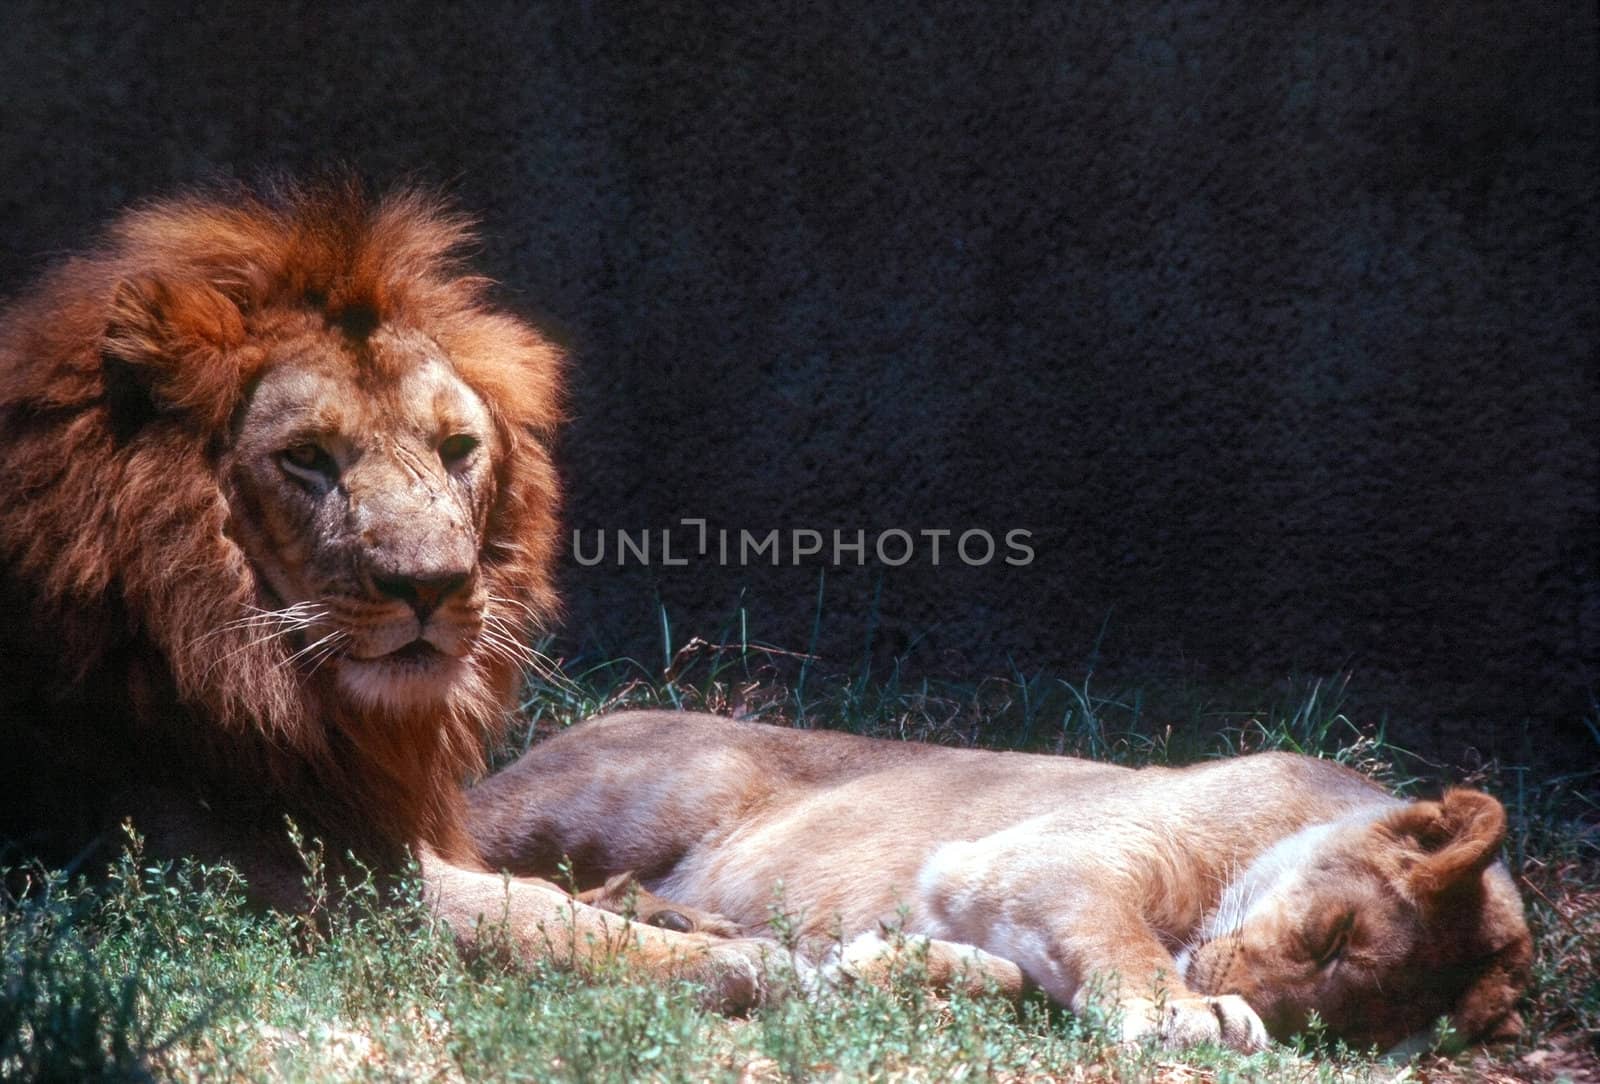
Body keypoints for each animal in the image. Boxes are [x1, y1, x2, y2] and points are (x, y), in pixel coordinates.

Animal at [0, 182, 774, 1004]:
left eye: (457, 449)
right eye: (306, 456)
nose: (431, 585)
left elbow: (521, 885)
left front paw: (672, 915)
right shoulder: (239, 877)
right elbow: (517, 915)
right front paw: (734, 959)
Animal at [467, 713, 1529, 1055]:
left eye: (1335, 1032)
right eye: (1331, 936)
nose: (1235, 994)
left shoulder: (995, 900)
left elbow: (1012, 978)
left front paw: (867, 968)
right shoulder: (1051, 857)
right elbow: (1118, 943)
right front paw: (1192, 1015)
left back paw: (695, 926)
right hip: (656, 788)